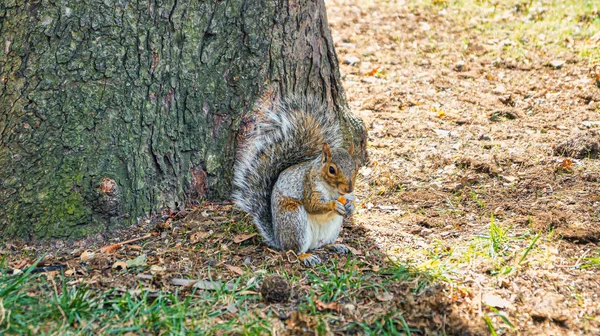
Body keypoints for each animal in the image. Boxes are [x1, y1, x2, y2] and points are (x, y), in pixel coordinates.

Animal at [232, 94, 358, 266]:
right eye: (332, 170)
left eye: (355, 167)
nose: (349, 189)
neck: (332, 190)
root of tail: (279, 239)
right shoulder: (308, 186)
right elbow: (313, 205)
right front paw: (333, 205)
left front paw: (350, 207)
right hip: (294, 221)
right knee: (293, 250)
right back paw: (305, 256)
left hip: (331, 229)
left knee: (323, 244)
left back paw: (335, 245)